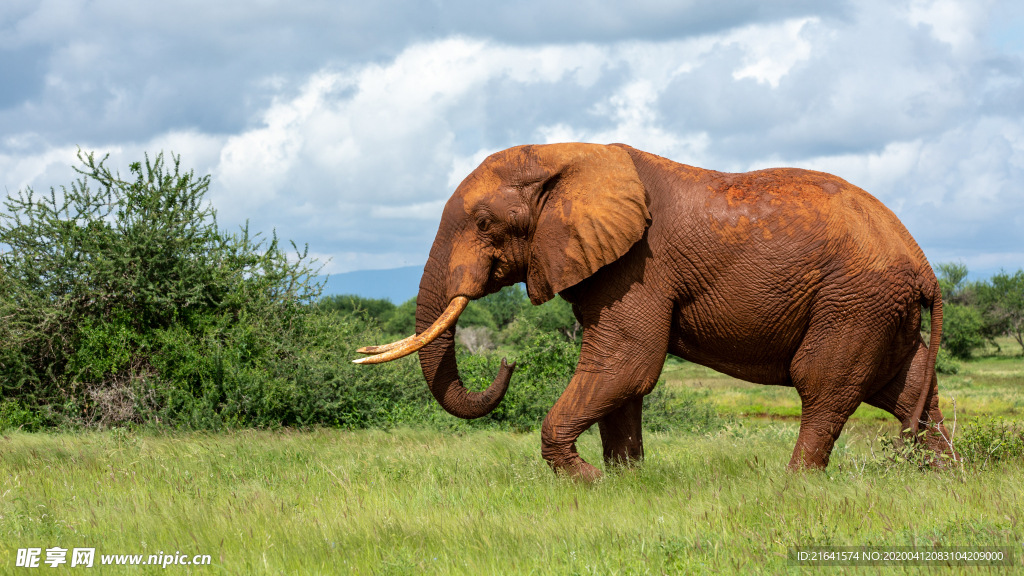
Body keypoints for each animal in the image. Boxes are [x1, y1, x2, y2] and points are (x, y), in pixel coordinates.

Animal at [356, 142, 954, 475]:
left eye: (483, 224)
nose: (508, 363)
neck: (563, 156)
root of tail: (924, 263)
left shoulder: (637, 265)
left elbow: (626, 364)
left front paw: (589, 481)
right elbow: (622, 378)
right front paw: (626, 483)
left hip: (853, 300)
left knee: (823, 386)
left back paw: (794, 484)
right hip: (879, 310)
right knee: (908, 391)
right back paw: (942, 477)